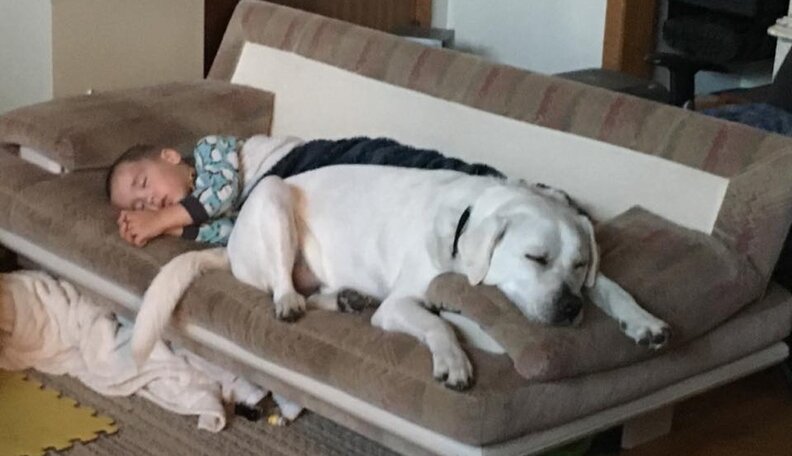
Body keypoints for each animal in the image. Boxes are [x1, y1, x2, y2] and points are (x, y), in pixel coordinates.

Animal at [132, 165, 671, 390]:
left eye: (579, 263)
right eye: (534, 258)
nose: (571, 309)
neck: (465, 226)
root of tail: (230, 250)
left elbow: (614, 286)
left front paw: (644, 321)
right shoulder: (402, 304)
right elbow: (439, 323)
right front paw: (454, 361)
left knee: (321, 291)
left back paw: (347, 300)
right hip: (274, 196)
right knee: (283, 283)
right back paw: (290, 301)